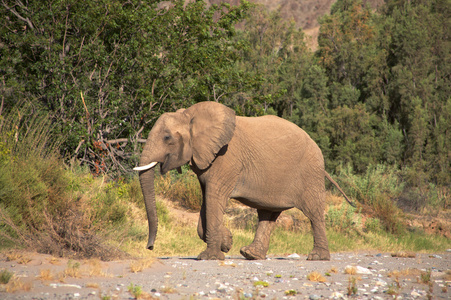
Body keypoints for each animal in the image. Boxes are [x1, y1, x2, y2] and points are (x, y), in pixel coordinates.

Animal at [134, 101, 354, 260]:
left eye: (167, 138)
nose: (150, 247)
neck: (191, 115)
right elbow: (207, 199)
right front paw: (226, 242)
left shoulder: (226, 159)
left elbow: (214, 198)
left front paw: (210, 256)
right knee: (268, 213)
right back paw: (251, 254)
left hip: (310, 172)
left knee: (313, 212)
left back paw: (317, 258)